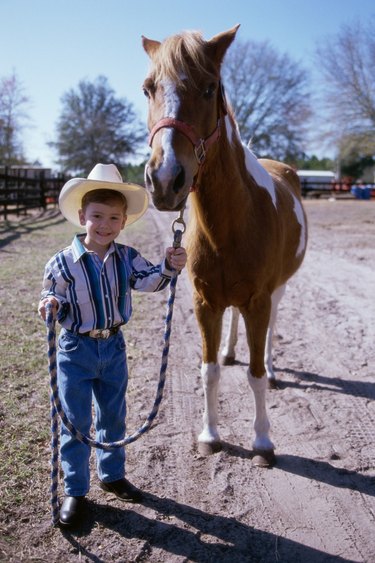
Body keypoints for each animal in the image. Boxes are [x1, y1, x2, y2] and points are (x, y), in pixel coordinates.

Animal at [141, 24, 308, 468]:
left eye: (209, 88)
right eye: (148, 88)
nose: (165, 179)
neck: (234, 220)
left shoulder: (259, 301)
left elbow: (256, 375)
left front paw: (263, 442)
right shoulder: (205, 302)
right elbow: (209, 370)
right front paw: (210, 435)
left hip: (278, 291)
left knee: (270, 336)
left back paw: (272, 366)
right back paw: (233, 350)